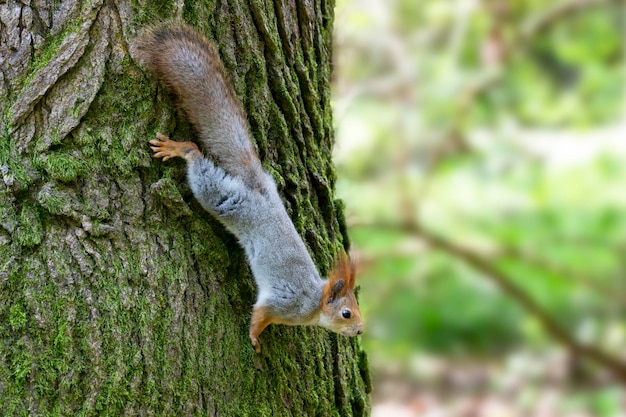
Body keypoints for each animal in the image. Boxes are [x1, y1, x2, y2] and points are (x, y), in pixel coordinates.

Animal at [136, 23, 360, 352]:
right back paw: (181, 149)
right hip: (225, 199)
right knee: (198, 162)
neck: (315, 302)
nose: (360, 330)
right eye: (346, 313)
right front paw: (255, 337)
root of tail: (260, 187)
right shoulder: (283, 302)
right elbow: (260, 313)